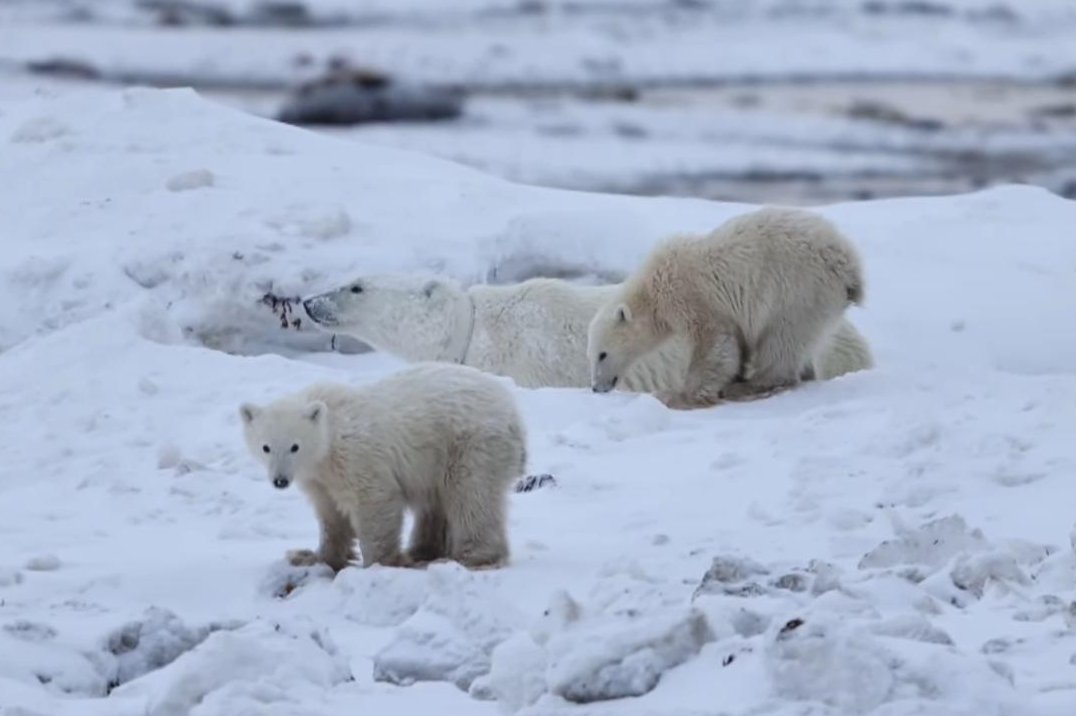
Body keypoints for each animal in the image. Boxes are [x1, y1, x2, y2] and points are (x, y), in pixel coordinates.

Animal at [238, 362, 527, 571]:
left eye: (294, 446)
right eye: (265, 447)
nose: (280, 480)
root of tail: (514, 414)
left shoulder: (356, 456)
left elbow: (374, 501)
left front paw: (380, 562)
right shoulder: (318, 478)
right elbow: (331, 515)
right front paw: (311, 556)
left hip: (469, 444)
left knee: (471, 496)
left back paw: (471, 557)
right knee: (437, 502)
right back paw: (422, 551)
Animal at [587, 206, 865, 409]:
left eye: (603, 354)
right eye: (591, 355)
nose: (596, 387)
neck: (653, 286)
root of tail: (848, 264)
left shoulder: (694, 297)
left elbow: (714, 345)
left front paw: (680, 394)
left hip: (797, 289)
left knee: (781, 339)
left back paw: (752, 385)